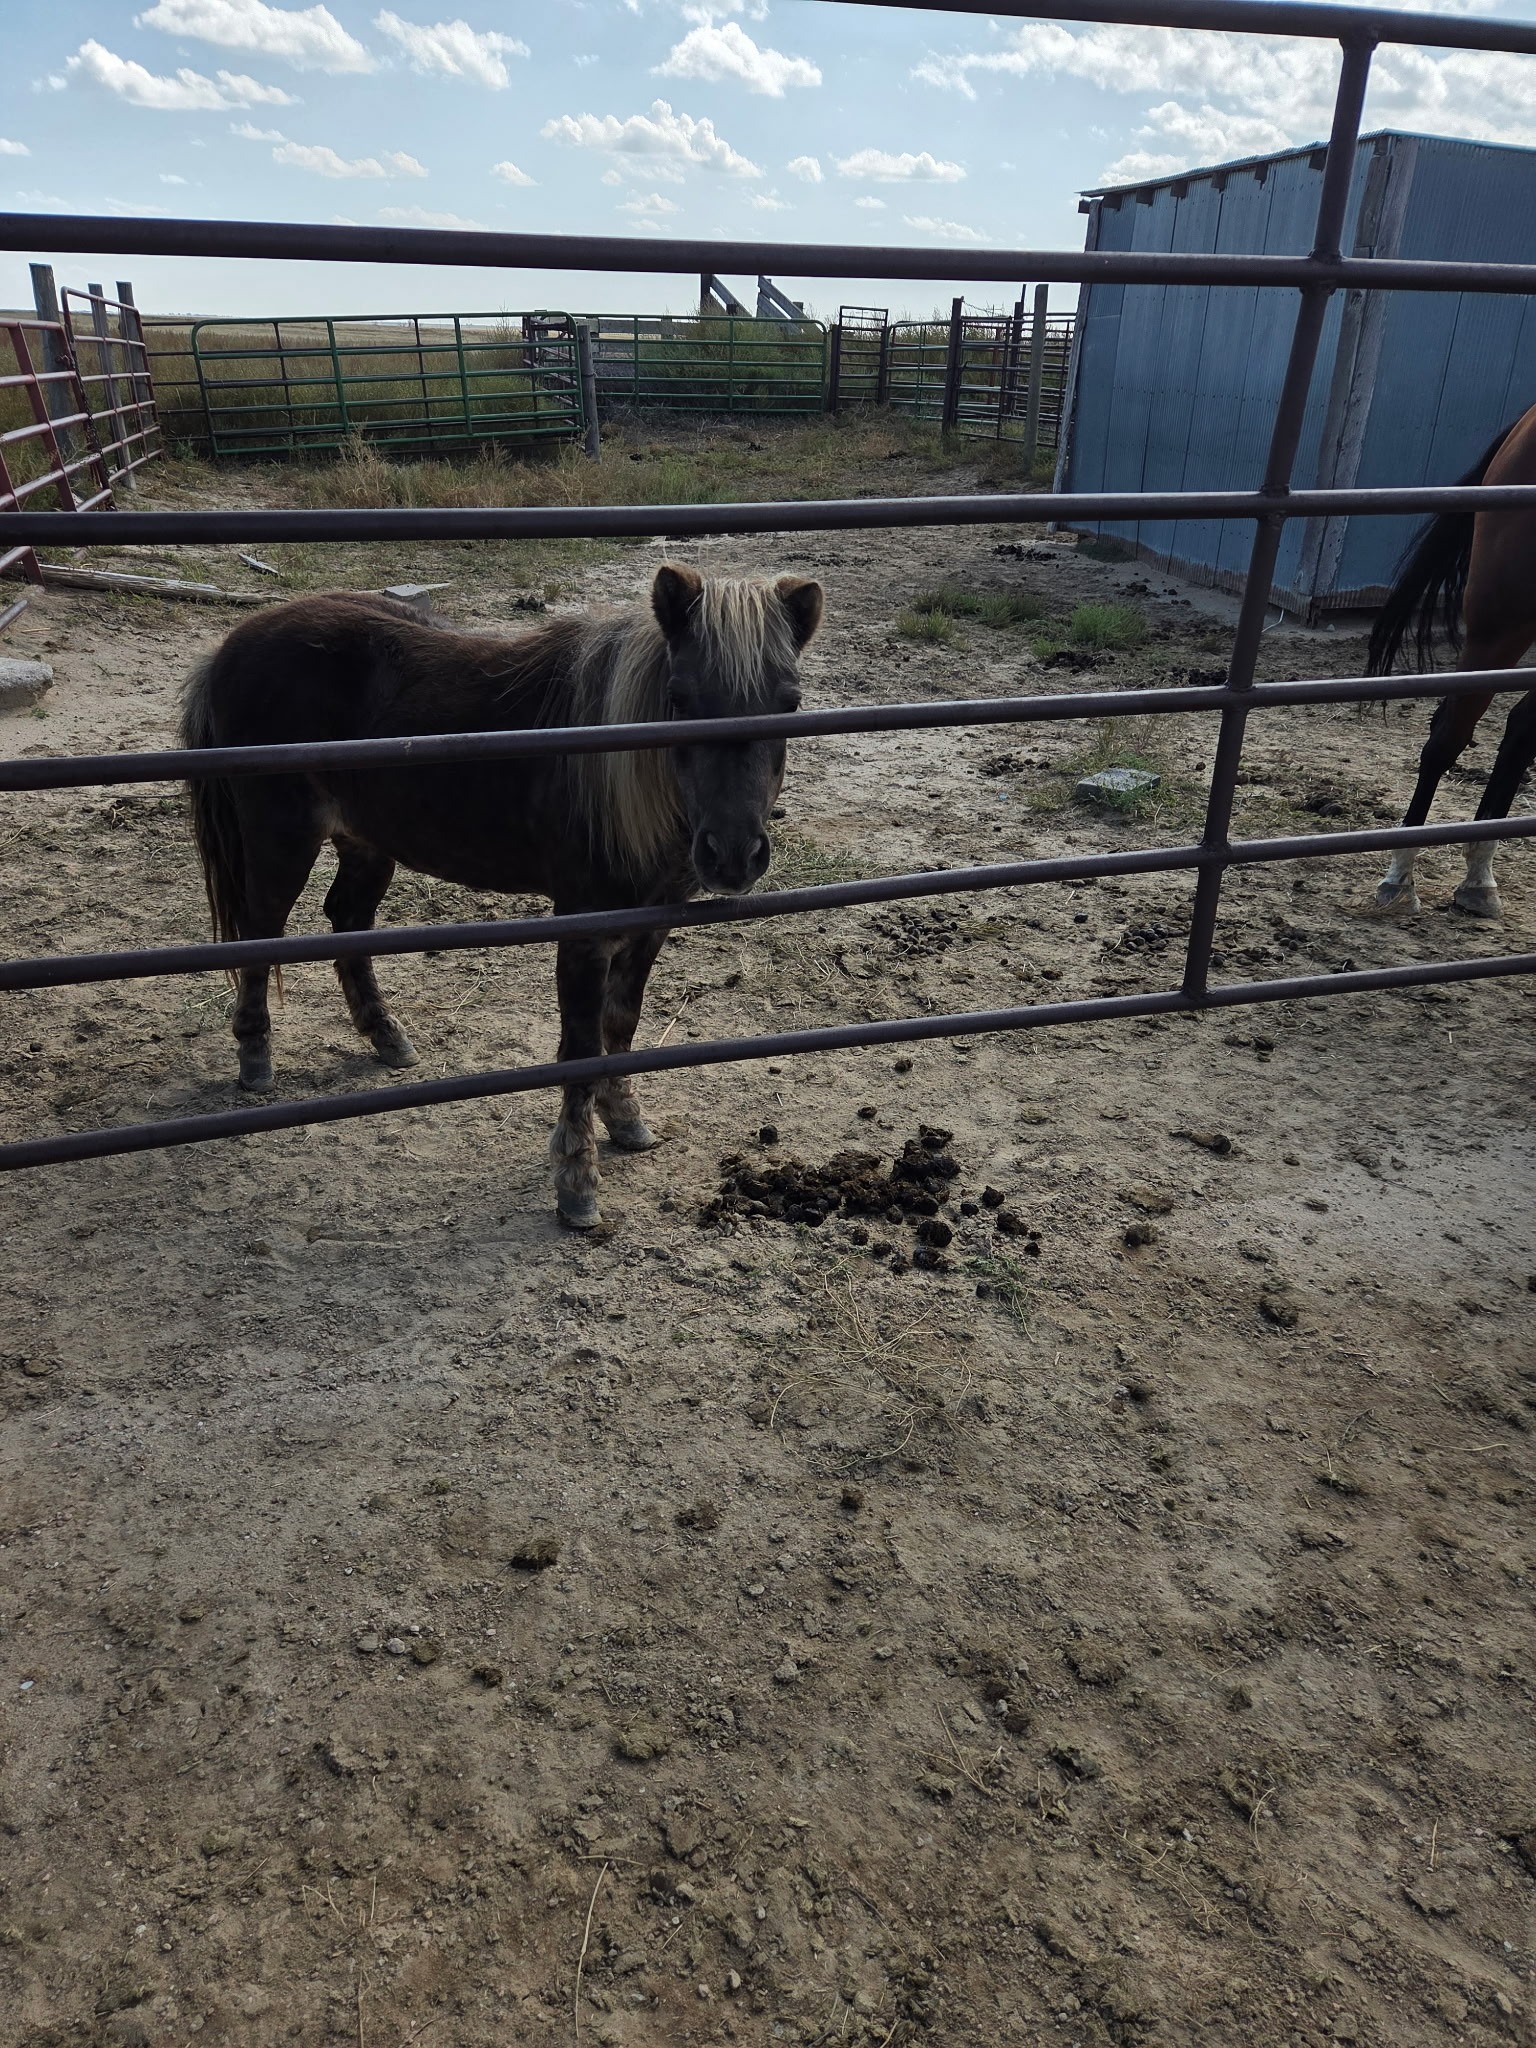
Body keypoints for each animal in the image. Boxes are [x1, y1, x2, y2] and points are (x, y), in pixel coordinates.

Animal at [179, 563, 823, 1227]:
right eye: (679, 699)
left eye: (791, 703)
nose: (733, 854)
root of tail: (229, 647)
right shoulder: (584, 930)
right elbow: (582, 1046)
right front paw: (577, 1180)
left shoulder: (652, 923)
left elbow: (620, 1028)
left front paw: (625, 1120)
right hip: (280, 839)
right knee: (259, 933)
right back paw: (256, 1059)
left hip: (366, 839)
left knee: (347, 918)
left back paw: (387, 1037)